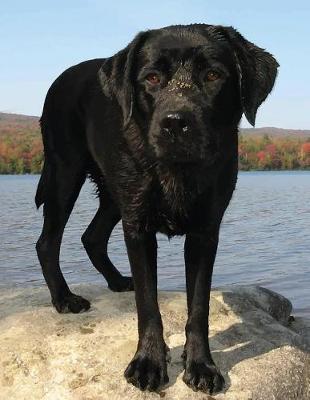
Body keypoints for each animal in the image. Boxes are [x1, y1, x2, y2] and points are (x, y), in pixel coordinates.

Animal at [34, 24, 278, 394]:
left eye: (213, 75)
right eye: (151, 78)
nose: (175, 122)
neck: (177, 172)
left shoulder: (205, 232)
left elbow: (199, 307)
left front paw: (202, 365)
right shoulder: (139, 229)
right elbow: (149, 305)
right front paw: (148, 363)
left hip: (114, 193)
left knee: (92, 236)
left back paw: (117, 280)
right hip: (66, 173)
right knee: (47, 241)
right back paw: (64, 298)